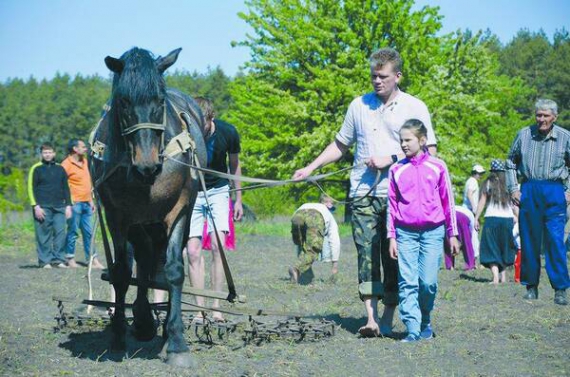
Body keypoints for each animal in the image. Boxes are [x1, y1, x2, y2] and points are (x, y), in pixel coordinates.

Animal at [89, 45, 204, 366]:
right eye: (124, 101)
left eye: (159, 100)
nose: (147, 164)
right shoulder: (117, 216)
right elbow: (121, 273)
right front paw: (118, 337)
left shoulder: (179, 211)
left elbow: (174, 270)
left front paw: (176, 342)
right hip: (140, 224)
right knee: (142, 259)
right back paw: (142, 322)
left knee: (159, 263)